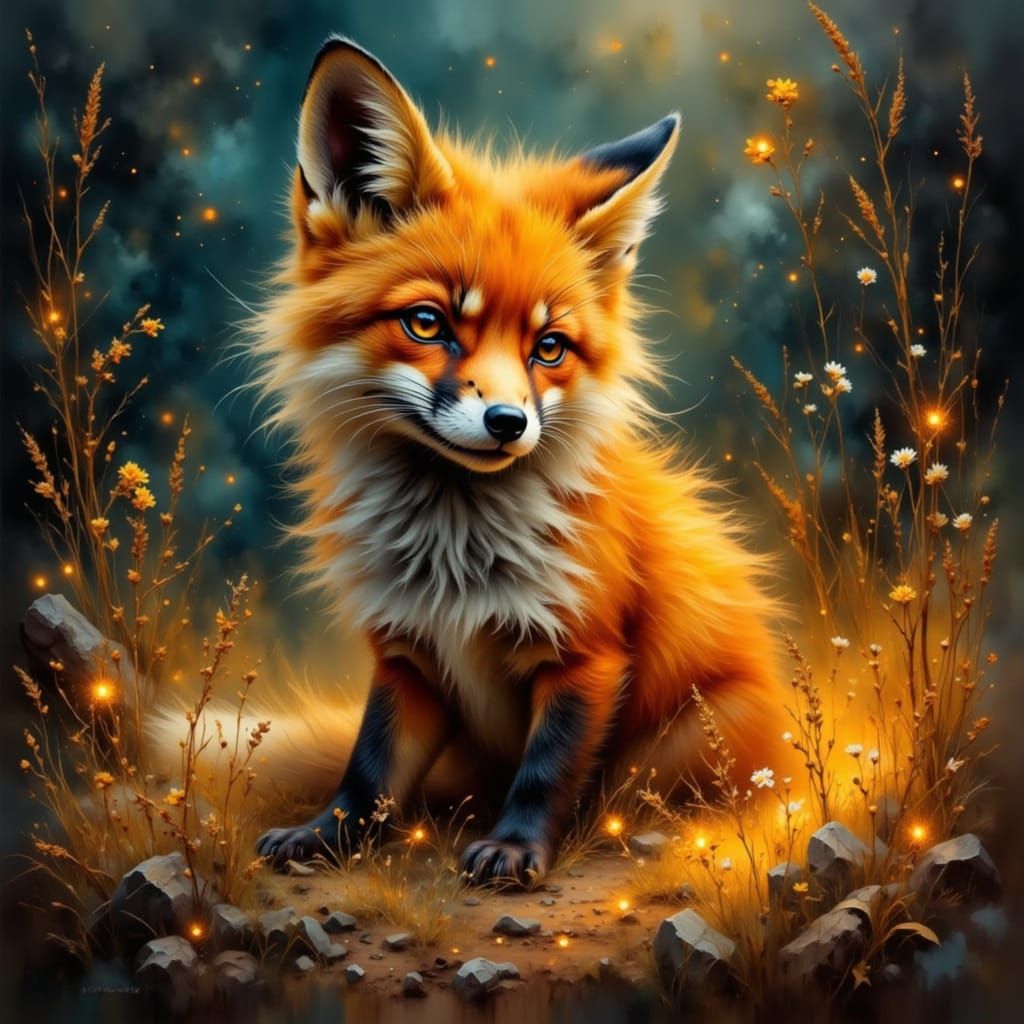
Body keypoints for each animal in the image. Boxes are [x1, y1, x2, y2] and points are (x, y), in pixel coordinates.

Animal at [251, 37, 789, 885]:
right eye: (428, 323)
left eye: (550, 347)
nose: (508, 423)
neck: (454, 560)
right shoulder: (408, 657)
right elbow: (369, 768)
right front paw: (327, 836)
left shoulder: (586, 656)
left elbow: (547, 768)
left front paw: (515, 848)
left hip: (703, 730)